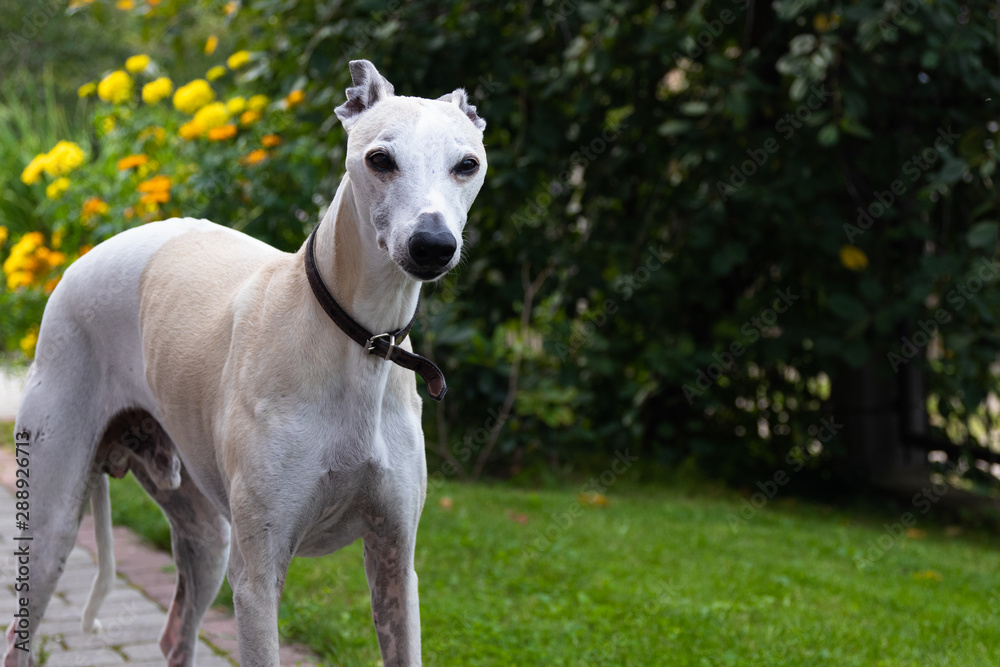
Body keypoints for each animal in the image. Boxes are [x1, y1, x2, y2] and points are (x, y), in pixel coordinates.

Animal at [3, 60, 488, 664]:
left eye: (467, 164)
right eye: (380, 158)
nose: (432, 245)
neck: (359, 340)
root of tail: (82, 258)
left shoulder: (395, 560)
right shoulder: (258, 578)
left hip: (207, 535)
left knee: (176, 630)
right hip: (52, 524)